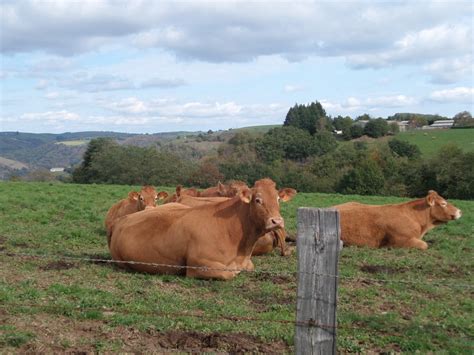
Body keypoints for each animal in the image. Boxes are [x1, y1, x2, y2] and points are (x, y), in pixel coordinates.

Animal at [109, 179, 294, 280]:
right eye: (257, 200)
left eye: (278, 199)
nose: (277, 221)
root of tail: (120, 221)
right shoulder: (198, 265)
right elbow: (229, 273)